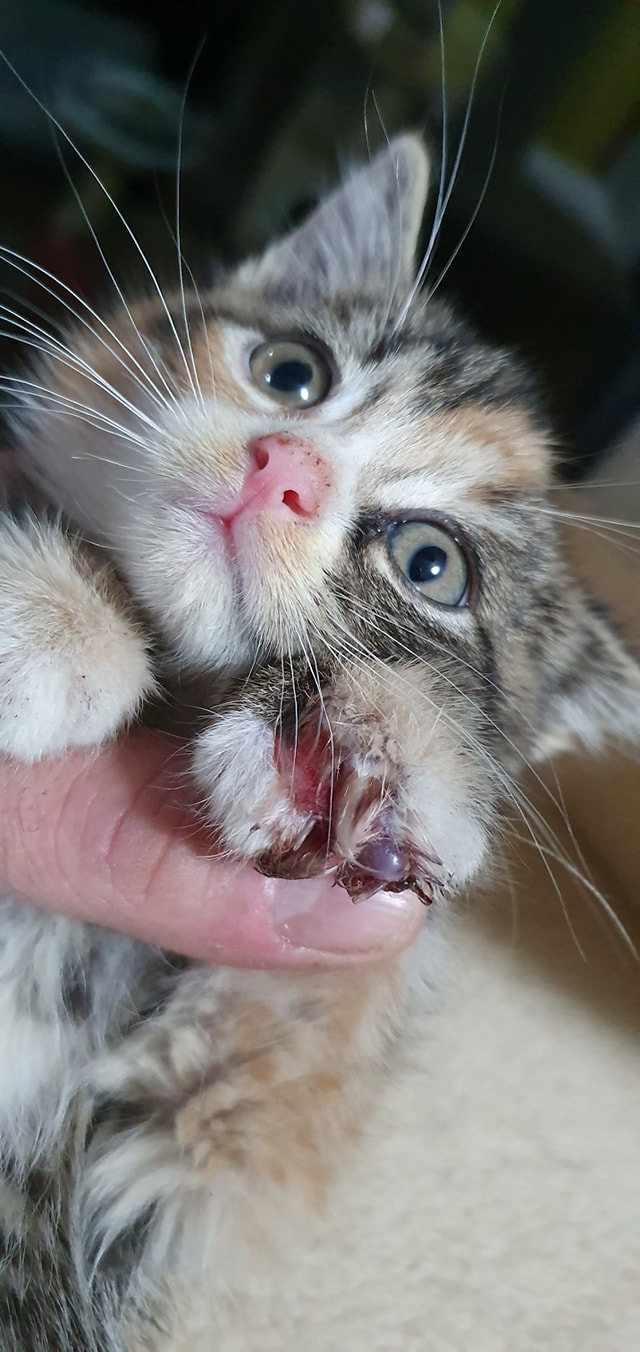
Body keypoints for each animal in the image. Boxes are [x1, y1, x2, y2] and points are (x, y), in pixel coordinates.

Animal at [0, 133, 639, 1351]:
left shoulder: (193, 1161)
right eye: (291, 373)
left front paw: (366, 753)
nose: (282, 464)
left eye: (431, 563)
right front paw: (49, 614)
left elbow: (303, 1038)